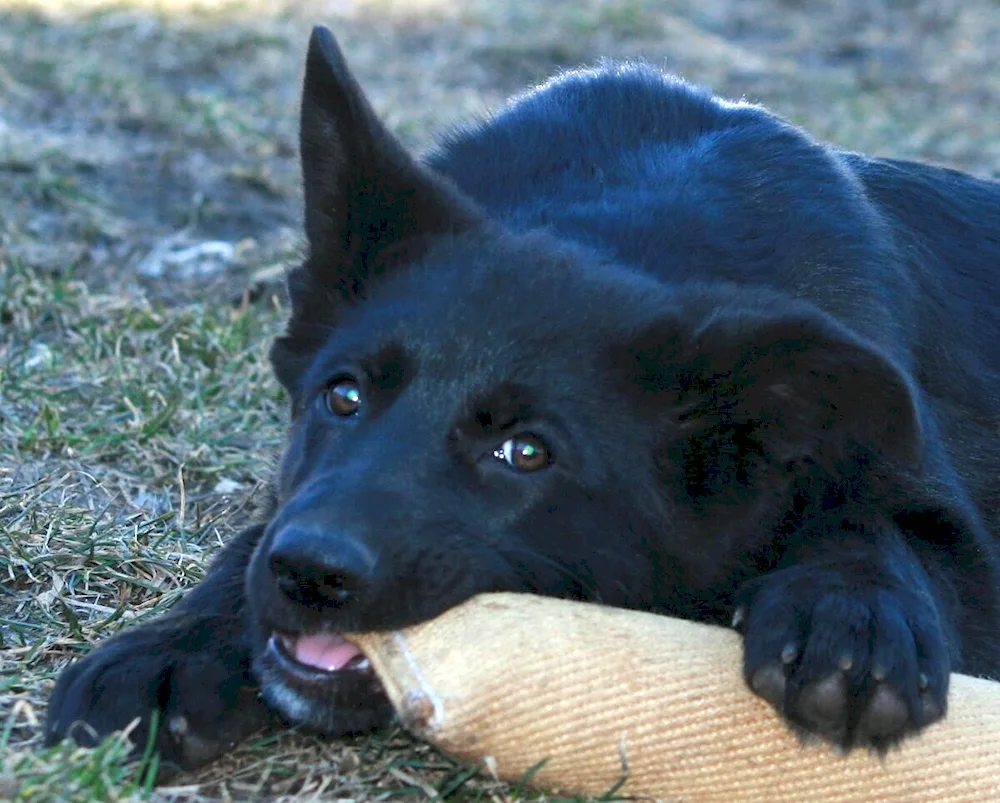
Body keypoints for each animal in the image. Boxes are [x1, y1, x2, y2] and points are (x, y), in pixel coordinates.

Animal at [45, 28, 1000, 776]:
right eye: (342, 397)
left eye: (526, 453)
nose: (309, 573)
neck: (626, 225)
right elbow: (249, 537)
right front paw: (171, 648)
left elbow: (881, 520)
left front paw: (854, 611)